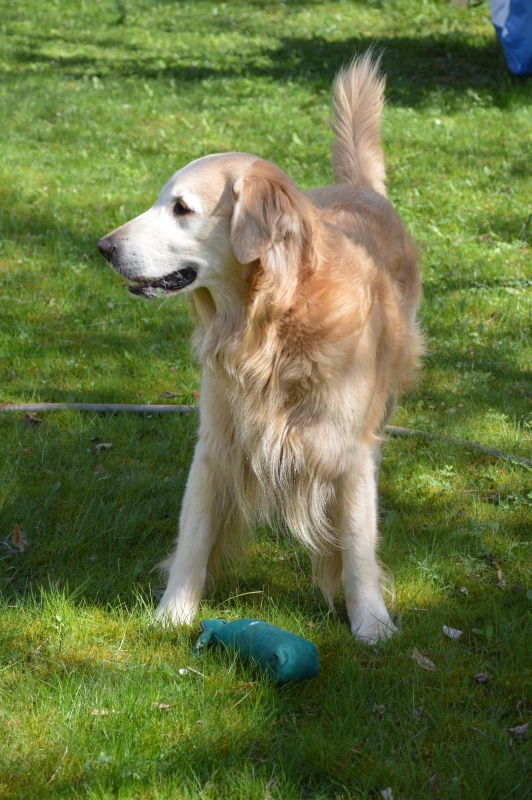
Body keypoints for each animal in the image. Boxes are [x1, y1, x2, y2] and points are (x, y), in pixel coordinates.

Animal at [97, 53, 422, 644]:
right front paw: (173, 613)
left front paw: (370, 623)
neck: (266, 327)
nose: (103, 247)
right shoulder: (217, 442)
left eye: (182, 208)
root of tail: (357, 188)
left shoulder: (347, 453)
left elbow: (358, 548)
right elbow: (194, 533)